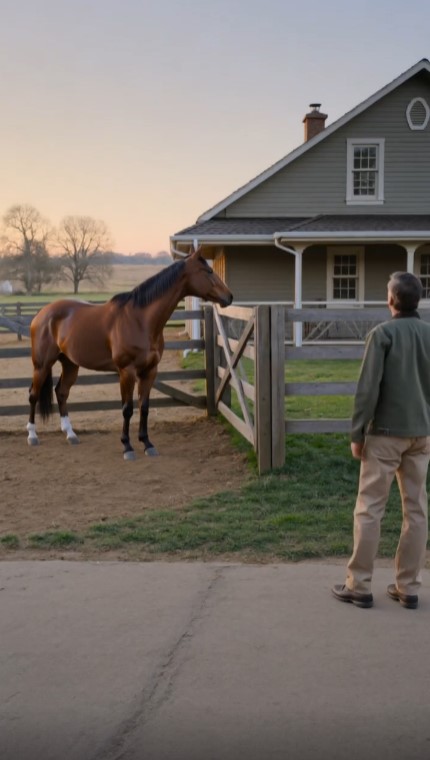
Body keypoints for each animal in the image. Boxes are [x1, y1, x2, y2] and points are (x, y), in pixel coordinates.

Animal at [27, 248, 233, 459]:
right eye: (208, 271)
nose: (229, 296)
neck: (140, 320)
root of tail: (41, 314)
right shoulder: (127, 372)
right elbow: (127, 409)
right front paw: (127, 446)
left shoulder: (150, 371)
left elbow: (144, 407)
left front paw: (147, 443)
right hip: (42, 365)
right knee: (33, 394)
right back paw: (33, 436)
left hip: (70, 364)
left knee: (61, 392)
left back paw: (70, 434)